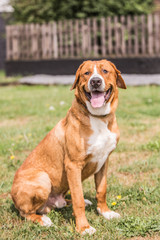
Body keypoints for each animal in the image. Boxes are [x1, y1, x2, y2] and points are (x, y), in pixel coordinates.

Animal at [10, 59, 126, 234]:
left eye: (105, 71)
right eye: (86, 73)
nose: (95, 81)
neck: (98, 118)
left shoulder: (104, 161)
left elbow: (101, 190)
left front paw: (105, 212)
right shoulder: (73, 165)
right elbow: (78, 199)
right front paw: (84, 227)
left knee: (62, 203)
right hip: (43, 178)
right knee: (25, 212)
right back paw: (42, 220)